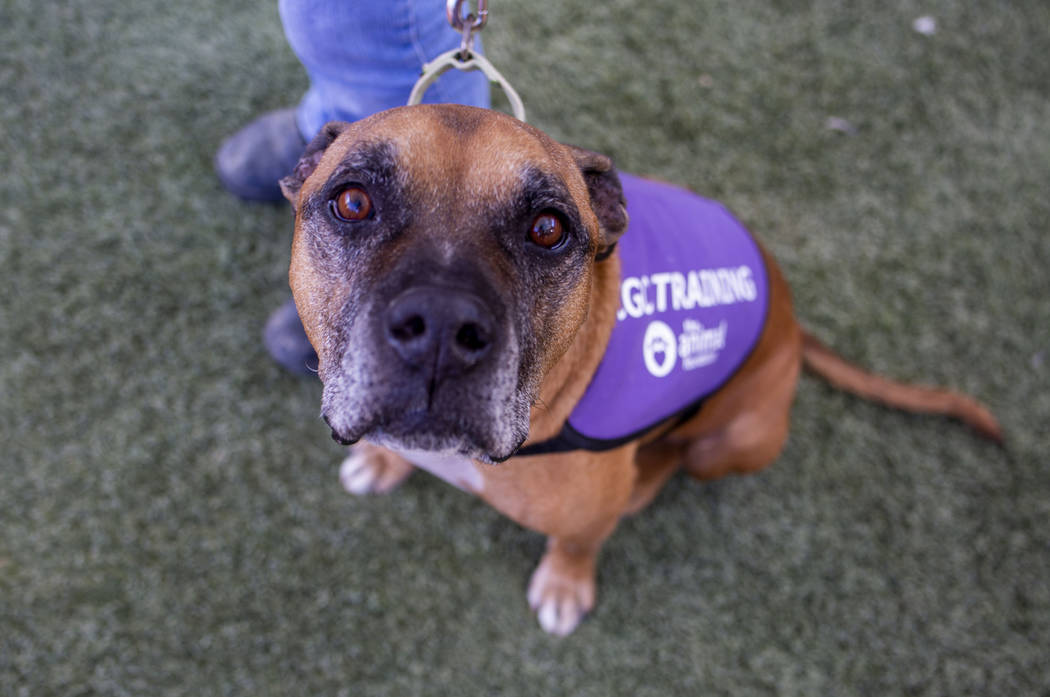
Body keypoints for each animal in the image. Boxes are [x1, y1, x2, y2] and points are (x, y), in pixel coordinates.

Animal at [279, 104, 999, 638]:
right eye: (352, 202)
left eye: (548, 229)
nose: (441, 326)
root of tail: (791, 320)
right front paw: (383, 460)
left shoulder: (586, 511)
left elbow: (578, 541)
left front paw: (565, 583)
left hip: (736, 440)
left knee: (680, 457)